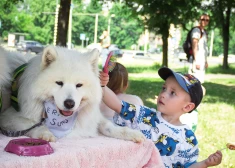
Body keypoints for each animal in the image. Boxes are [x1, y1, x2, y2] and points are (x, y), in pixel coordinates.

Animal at [0, 46, 145, 143]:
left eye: (79, 85)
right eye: (59, 83)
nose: (69, 103)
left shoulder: (93, 118)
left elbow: (109, 127)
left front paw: (132, 134)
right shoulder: (10, 117)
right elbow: (32, 125)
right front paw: (46, 134)